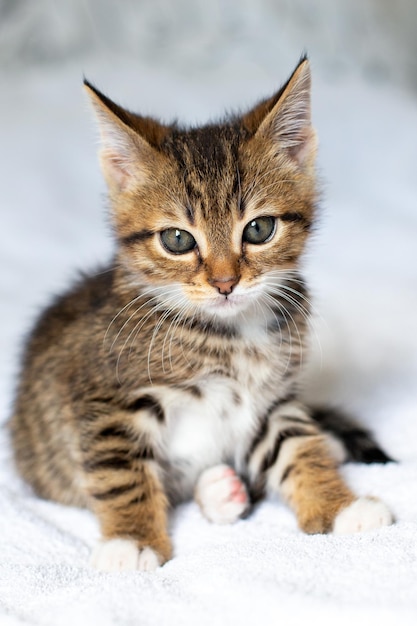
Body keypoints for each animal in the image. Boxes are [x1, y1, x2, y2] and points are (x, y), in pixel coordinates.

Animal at [10, 58, 394, 572]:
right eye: (177, 239)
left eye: (259, 229)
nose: (225, 282)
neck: (229, 336)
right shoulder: (103, 398)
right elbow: (121, 474)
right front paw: (132, 541)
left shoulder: (270, 400)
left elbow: (297, 447)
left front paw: (337, 506)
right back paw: (219, 490)